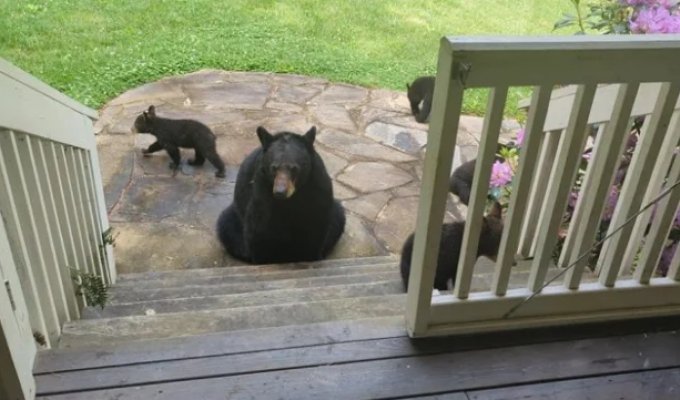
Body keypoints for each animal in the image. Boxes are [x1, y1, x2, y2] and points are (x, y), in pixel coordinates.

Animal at [218, 126, 346, 264]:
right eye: (274, 168)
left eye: (294, 168)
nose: (280, 192)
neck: (291, 198)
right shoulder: (262, 191)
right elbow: (259, 230)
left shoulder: (317, 185)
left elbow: (315, 223)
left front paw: (311, 256)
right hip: (236, 215)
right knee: (227, 226)